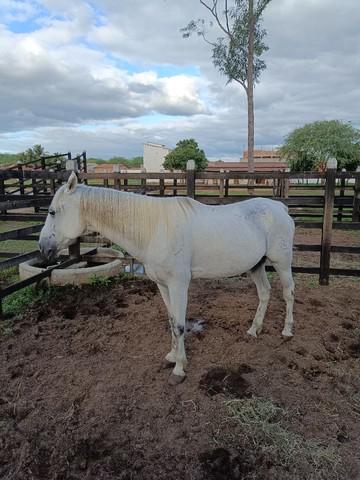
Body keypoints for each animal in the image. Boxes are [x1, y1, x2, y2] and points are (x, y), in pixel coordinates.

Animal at [39, 172, 296, 386]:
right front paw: (172, 357)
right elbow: (172, 321)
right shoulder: (163, 285)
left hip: (282, 262)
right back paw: (254, 330)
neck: (155, 229)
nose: (43, 248)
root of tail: (280, 208)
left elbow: (181, 325)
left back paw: (287, 331)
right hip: (257, 265)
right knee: (264, 293)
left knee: (288, 293)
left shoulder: (178, 285)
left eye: (52, 211)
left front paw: (179, 370)